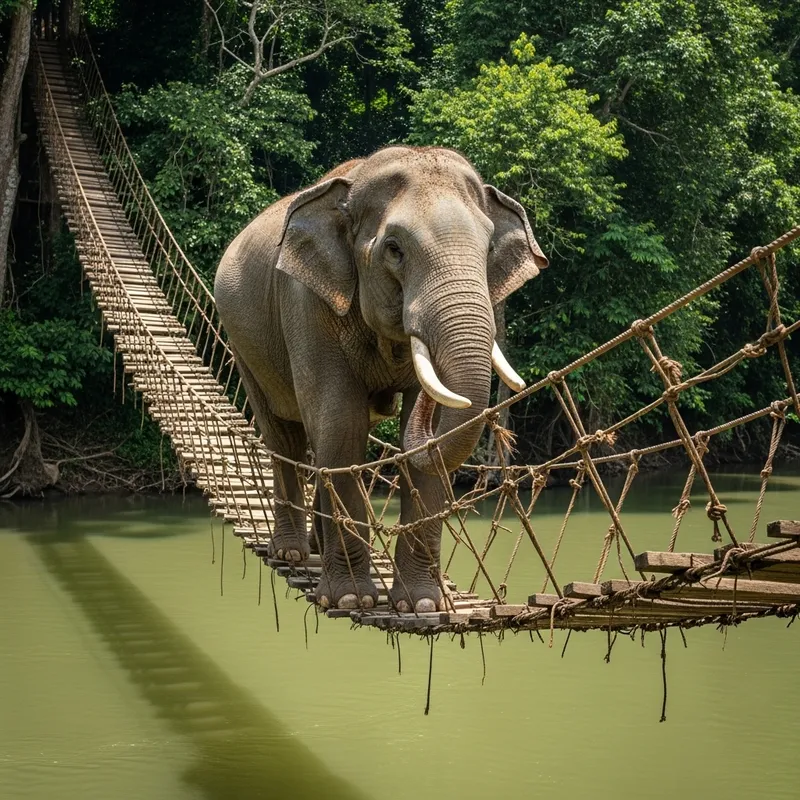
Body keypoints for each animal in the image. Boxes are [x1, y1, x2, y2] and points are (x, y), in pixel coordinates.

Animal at [214, 146, 548, 612]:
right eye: (394, 250)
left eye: (488, 250)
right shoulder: (306, 302)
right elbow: (342, 424)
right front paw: (351, 599)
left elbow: (415, 446)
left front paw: (422, 605)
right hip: (242, 342)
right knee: (287, 438)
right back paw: (292, 554)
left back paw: (315, 550)